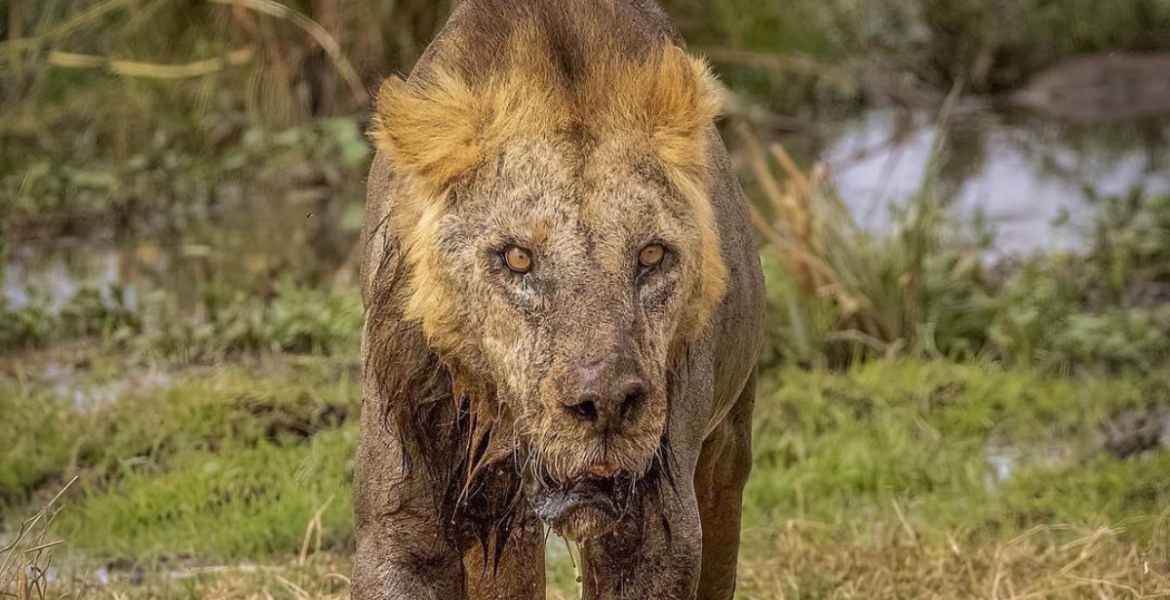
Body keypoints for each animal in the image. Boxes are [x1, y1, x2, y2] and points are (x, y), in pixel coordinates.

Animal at [353, 0, 764, 598]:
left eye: (651, 255)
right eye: (518, 258)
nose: (607, 407)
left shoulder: (657, 528)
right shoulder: (399, 519)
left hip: (727, 446)